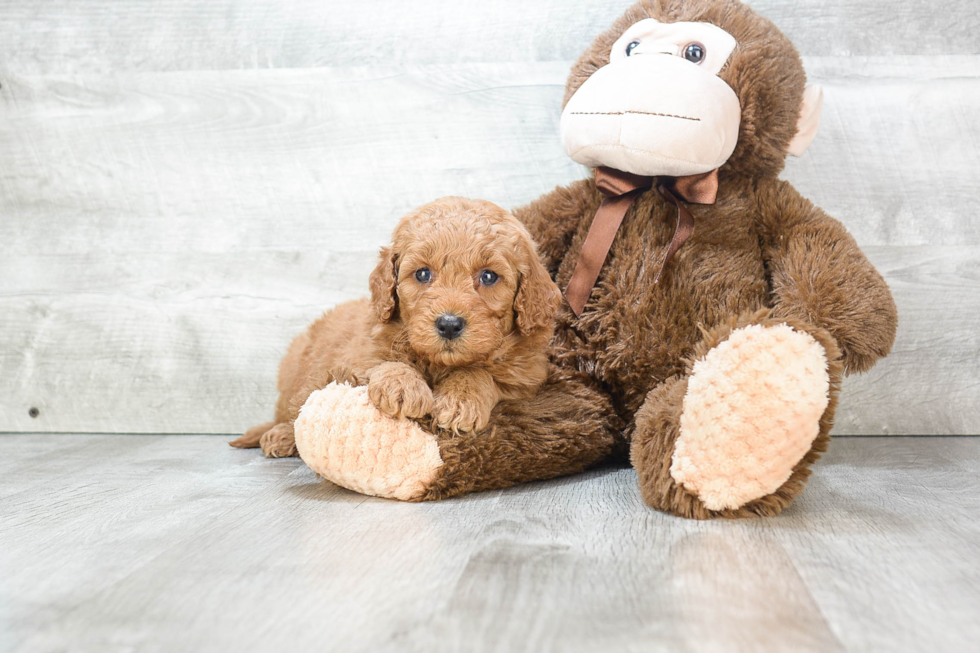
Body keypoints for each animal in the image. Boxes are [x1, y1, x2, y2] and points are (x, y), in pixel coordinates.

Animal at [231, 196, 564, 456]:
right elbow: (385, 361)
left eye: (489, 276)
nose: (449, 324)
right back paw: (279, 435)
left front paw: (461, 400)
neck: (437, 363)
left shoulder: (525, 380)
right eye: (422, 274)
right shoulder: (358, 355)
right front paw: (402, 386)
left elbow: (480, 372)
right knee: (293, 409)